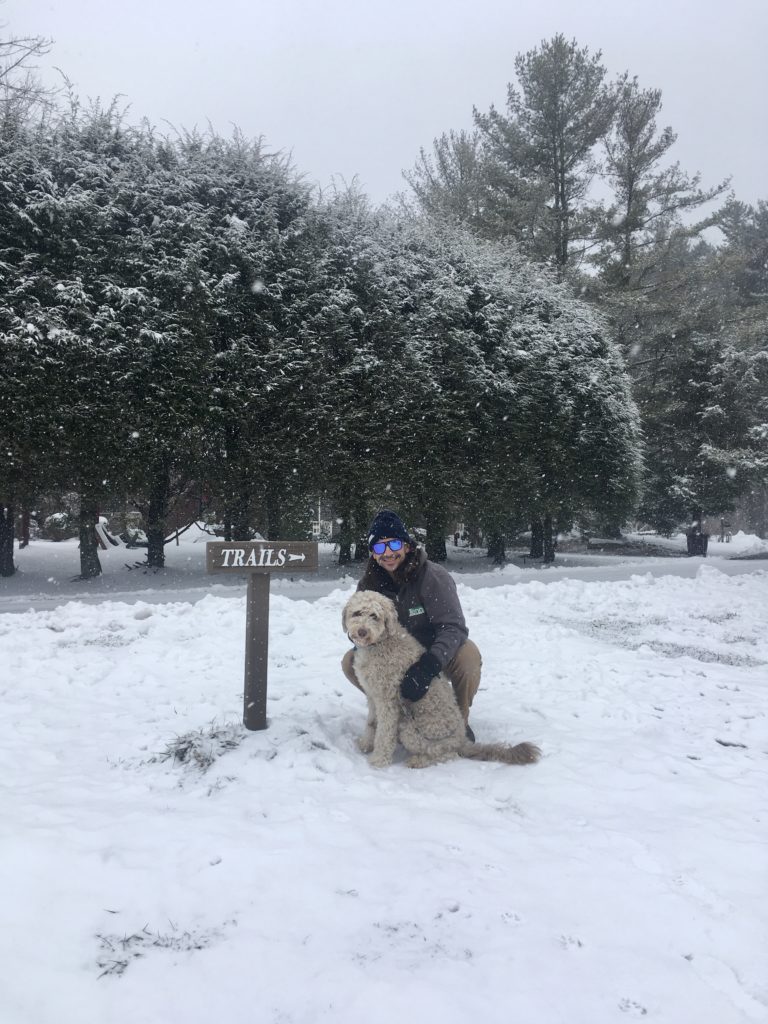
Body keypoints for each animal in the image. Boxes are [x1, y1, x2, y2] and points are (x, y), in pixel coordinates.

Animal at [342, 593, 540, 770]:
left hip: (410, 728)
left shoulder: (388, 702)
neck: (380, 643)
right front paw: (366, 744)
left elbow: (384, 733)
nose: (362, 632)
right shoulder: (373, 696)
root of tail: (461, 740)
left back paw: (418, 761)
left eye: (374, 616)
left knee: (446, 754)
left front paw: (379, 760)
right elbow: (371, 723)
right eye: (357, 613)